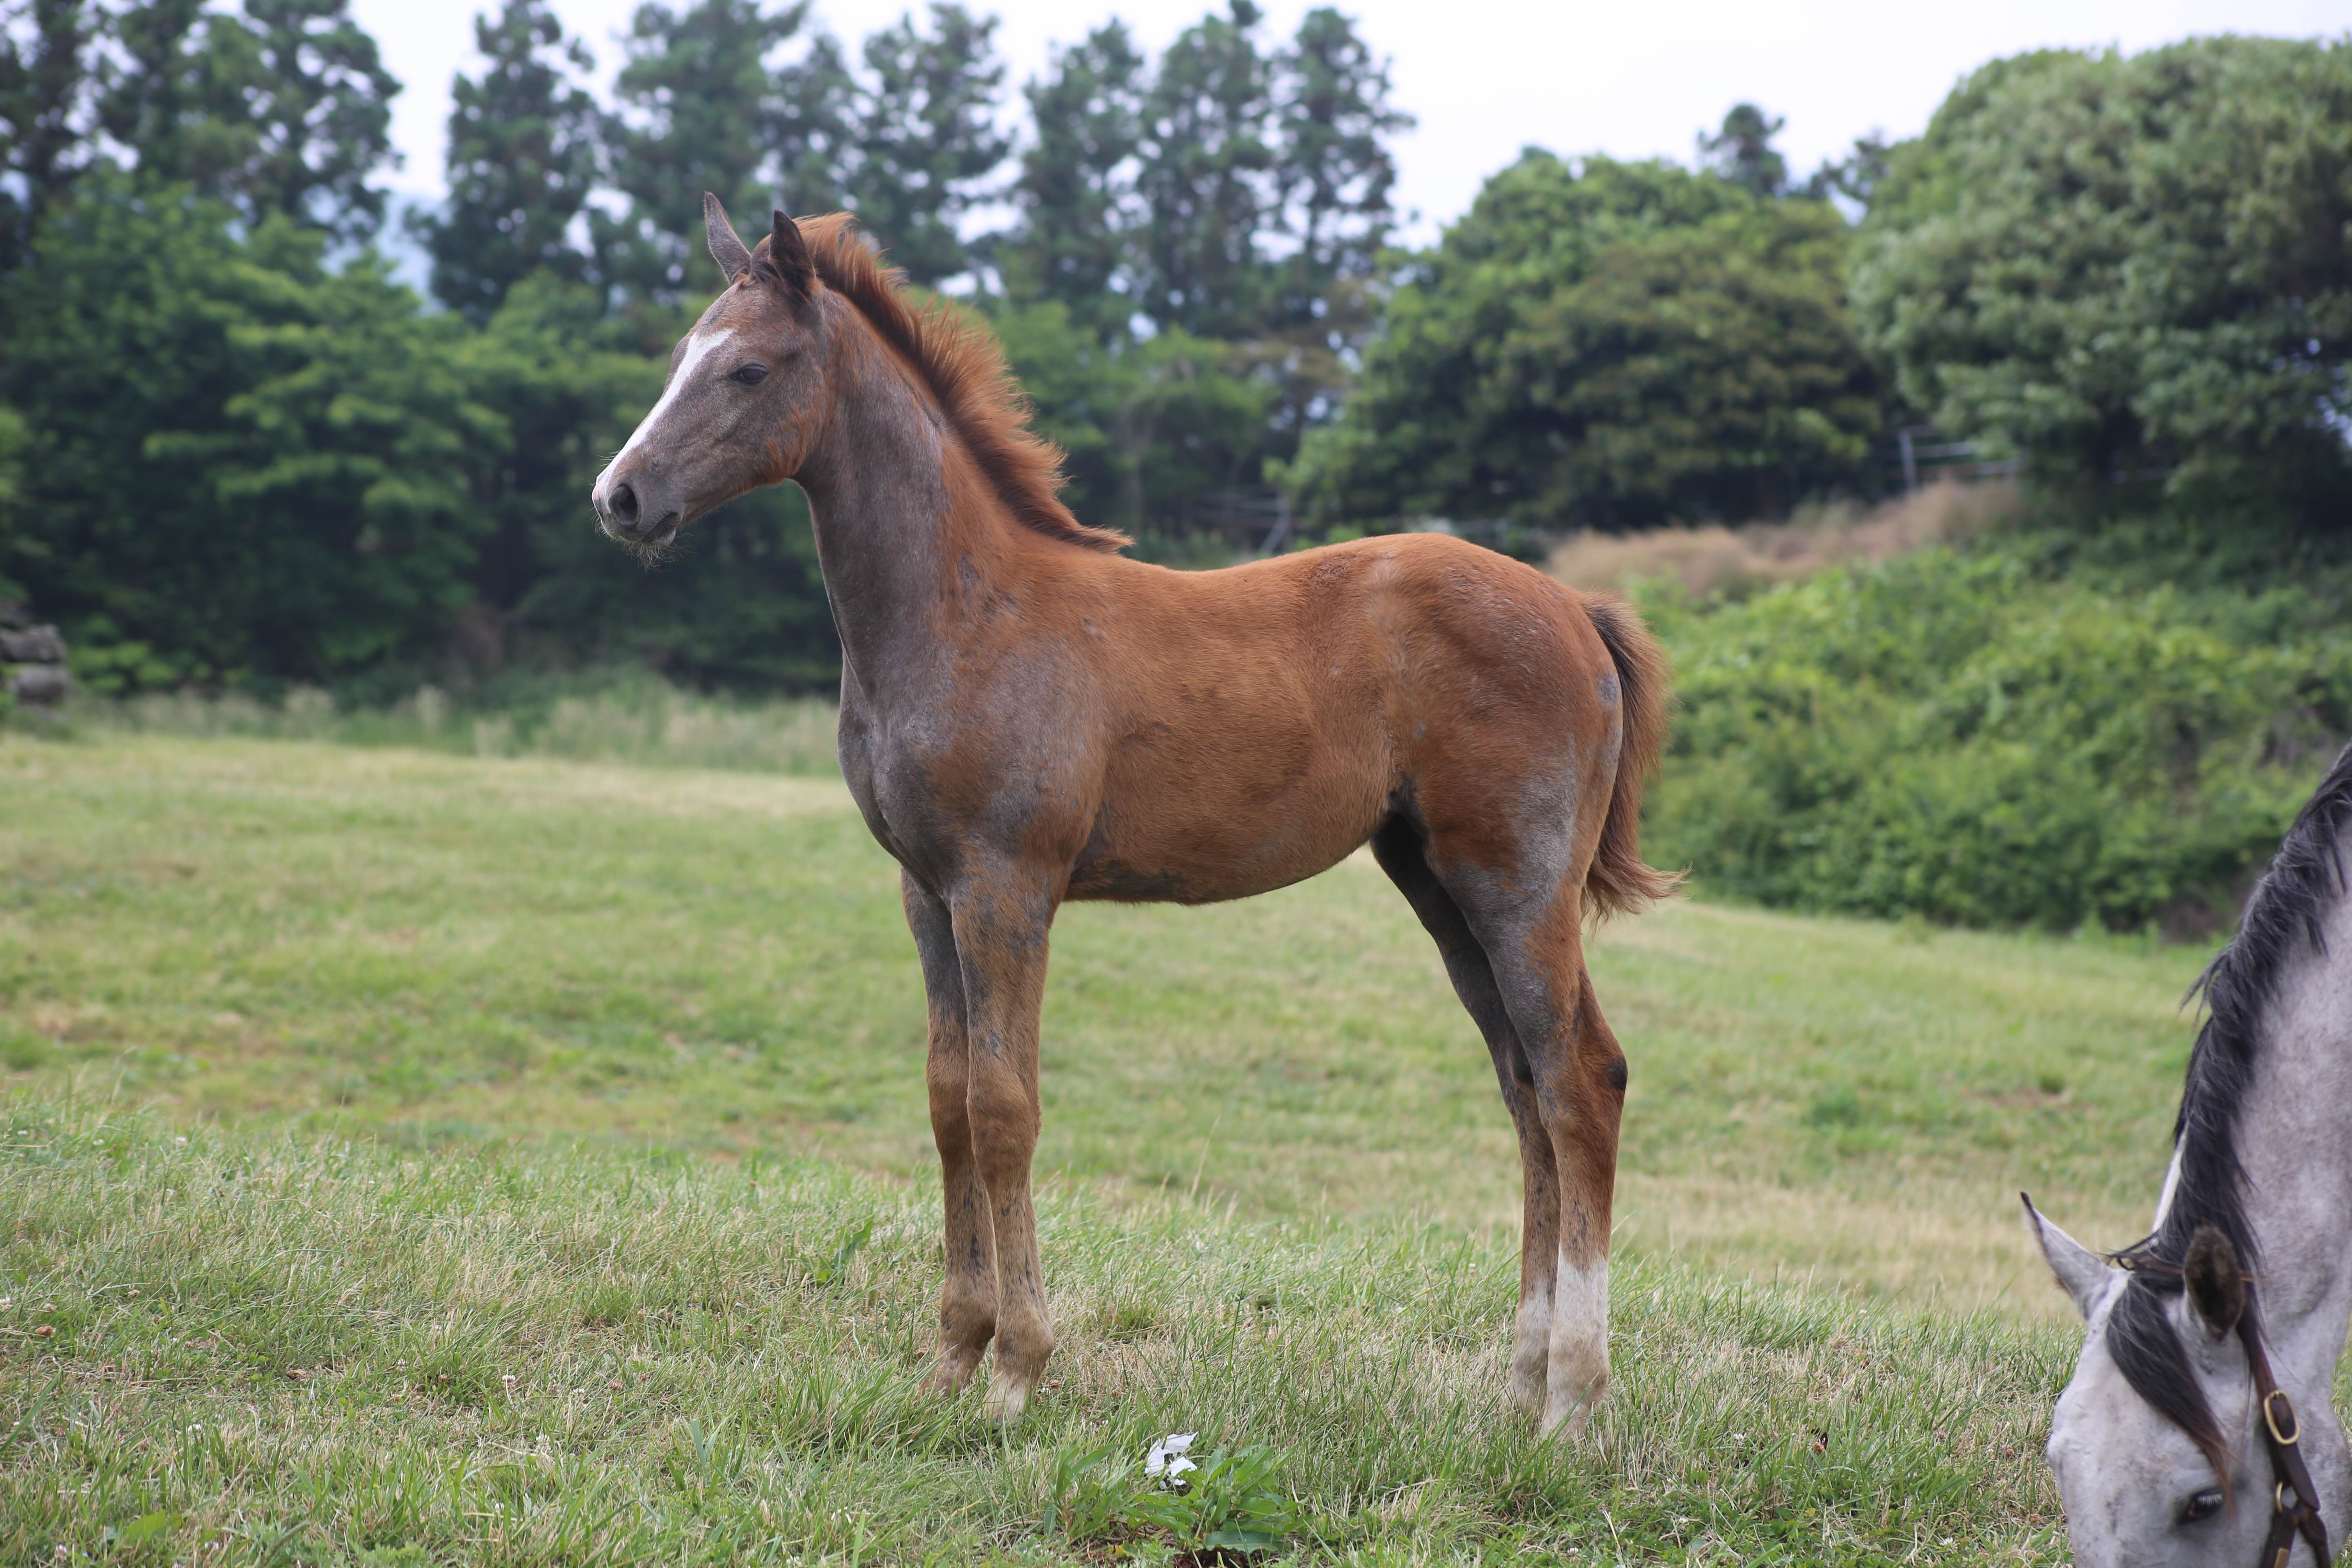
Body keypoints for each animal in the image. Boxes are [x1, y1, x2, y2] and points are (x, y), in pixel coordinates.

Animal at [597, 196, 1684, 1439]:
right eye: (680, 358)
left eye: (748, 369)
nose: (618, 498)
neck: (964, 612)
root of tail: (1573, 606)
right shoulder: (926, 890)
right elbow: (946, 1100)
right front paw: (950, 1359)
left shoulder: (1007, 886)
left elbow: (1003, 1105)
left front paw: (1016, 1372)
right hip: (1439, 886)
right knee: (1524, 1088)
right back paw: (1516, 1384)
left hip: (1517, 880)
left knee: (1580, 1079)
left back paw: (1572, 1402)